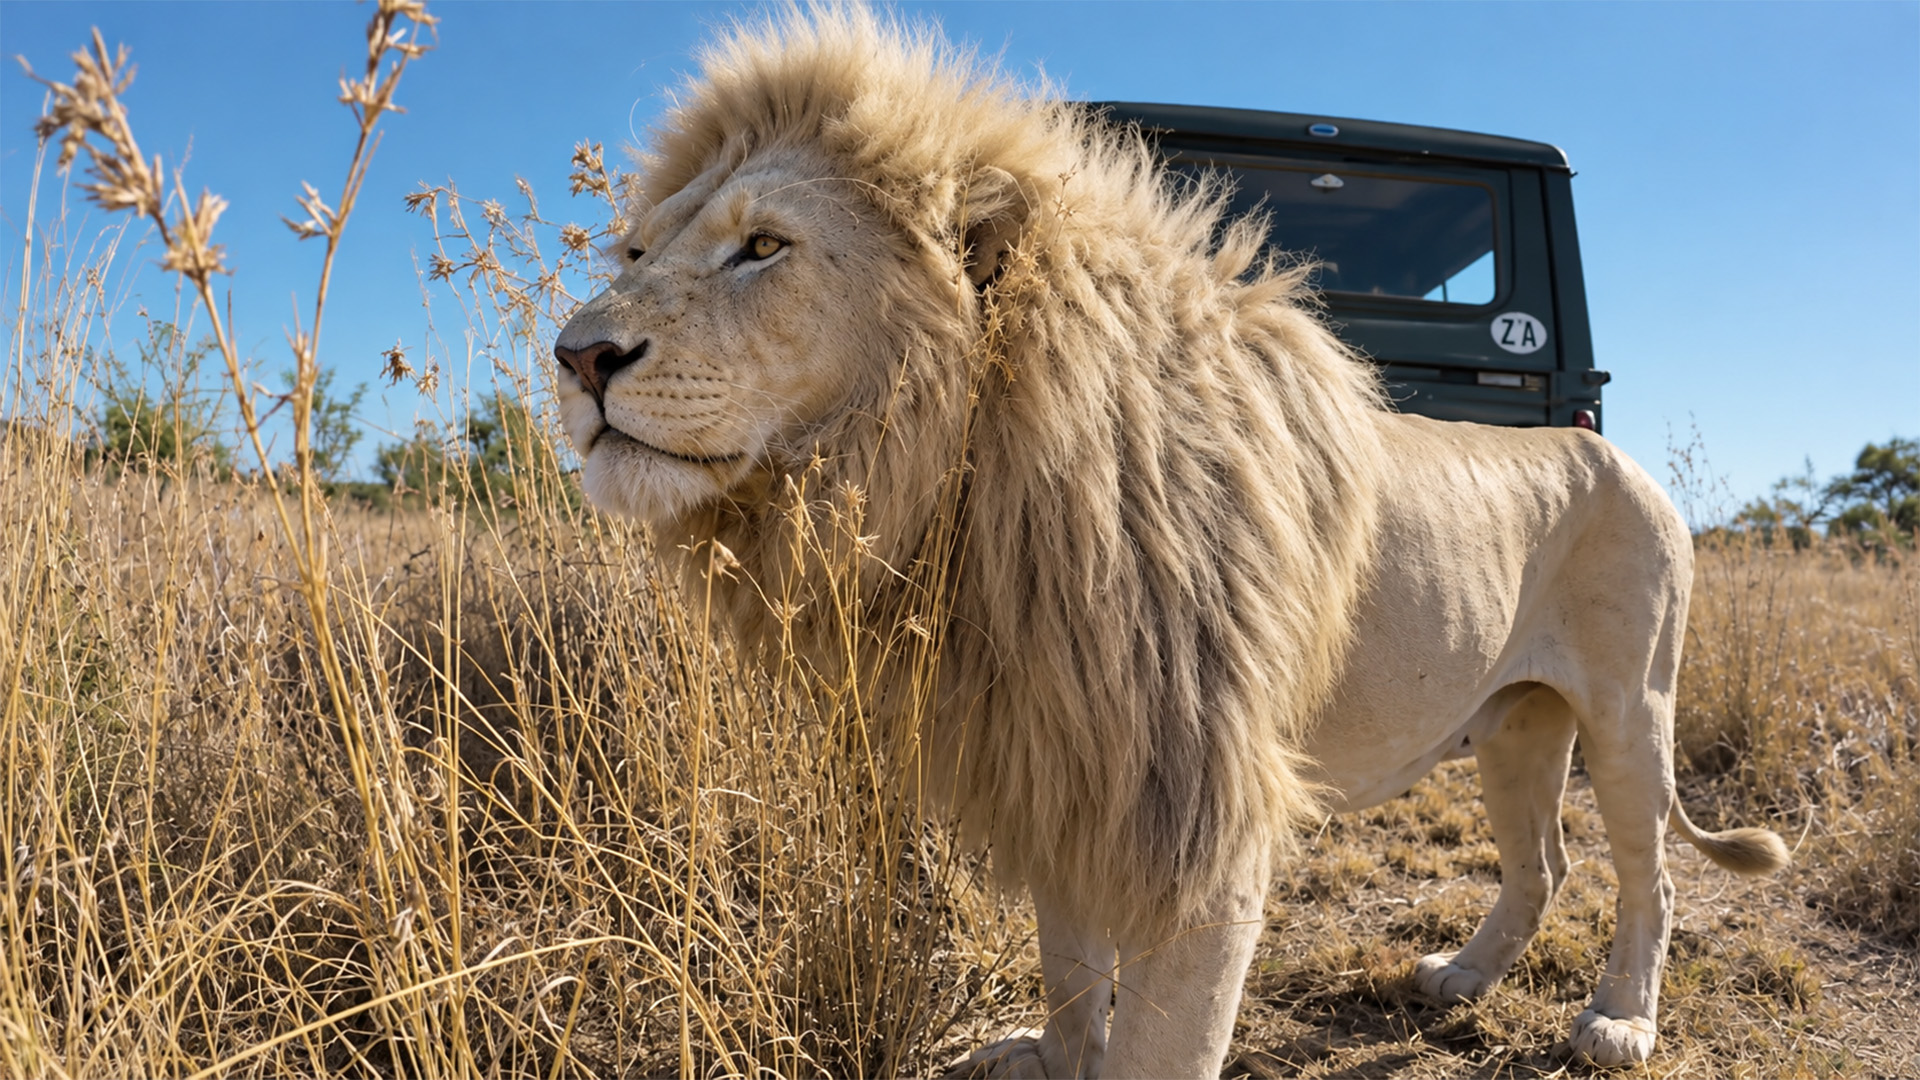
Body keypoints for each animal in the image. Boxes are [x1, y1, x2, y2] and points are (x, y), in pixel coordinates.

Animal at [551, 8, 1789, 1075]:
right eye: (633, 254)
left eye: (763, 245)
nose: (575, 356)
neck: (981, 489)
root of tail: (1620, 459)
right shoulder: (1057, 754)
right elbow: (1067, 968)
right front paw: (1052, 1057)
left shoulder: (1199, 816)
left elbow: (1160, 1044)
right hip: (1513, 719)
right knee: (1543, 860)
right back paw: (1463, 977)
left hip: (1631, 709)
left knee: (1646, 875)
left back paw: (1620, 1022)